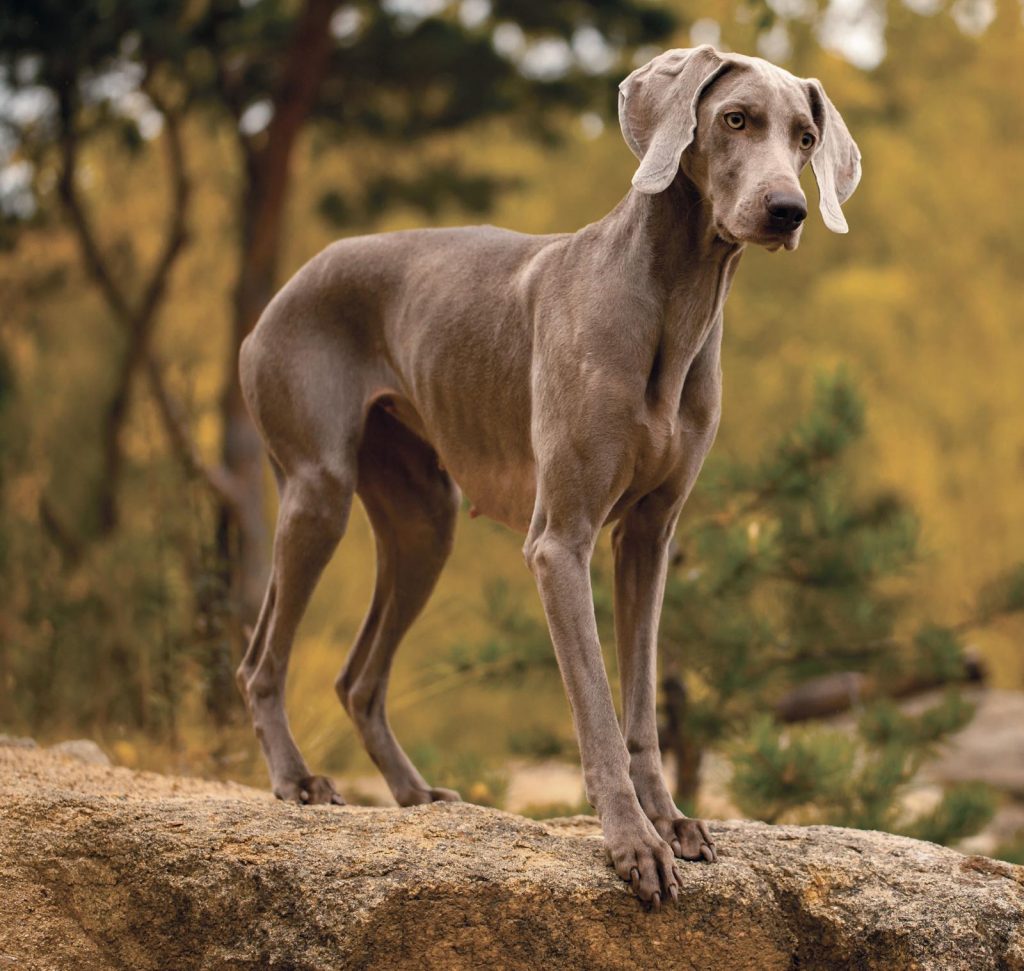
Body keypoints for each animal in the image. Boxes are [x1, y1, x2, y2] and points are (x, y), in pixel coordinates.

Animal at [235, 45, 860, 909]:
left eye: (805, 136)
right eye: (736, 118)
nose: (787, 210)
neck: (673, 301)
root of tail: (283, 289)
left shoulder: (649, 537)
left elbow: (641, 704)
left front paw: (671, 821)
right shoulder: (560, 541)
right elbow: (594, 703)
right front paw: (633, 844)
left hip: (423, 522)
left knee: (359, 677)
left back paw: (415, 795)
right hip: (317, 491)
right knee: (260, 659)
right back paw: (297, 781)